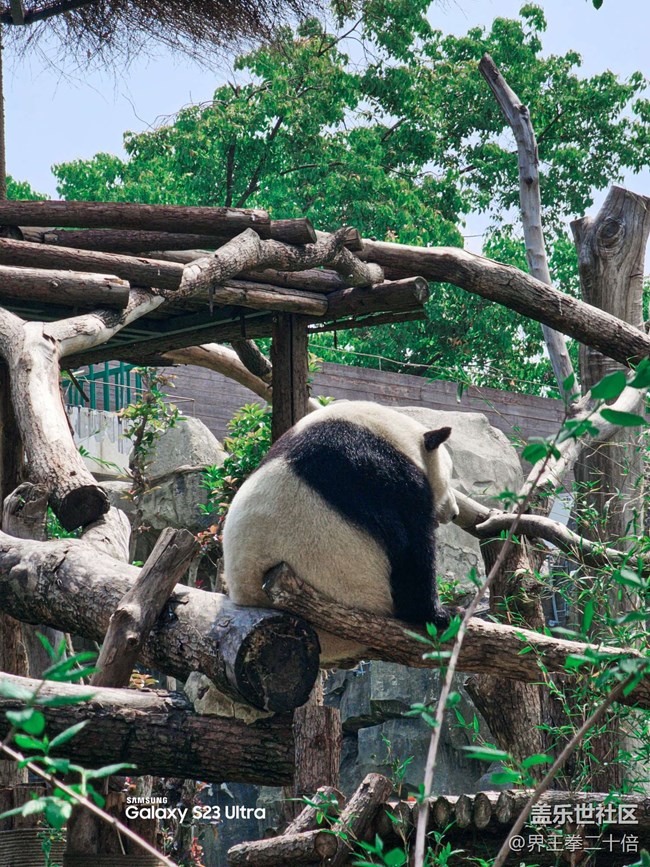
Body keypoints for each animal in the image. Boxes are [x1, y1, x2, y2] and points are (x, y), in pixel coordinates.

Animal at [222, 400, 459, 665]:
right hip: (358, 589)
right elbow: (411, 548)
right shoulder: (383, 472)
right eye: (449, 477)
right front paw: (439, 613)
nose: (454, 513)